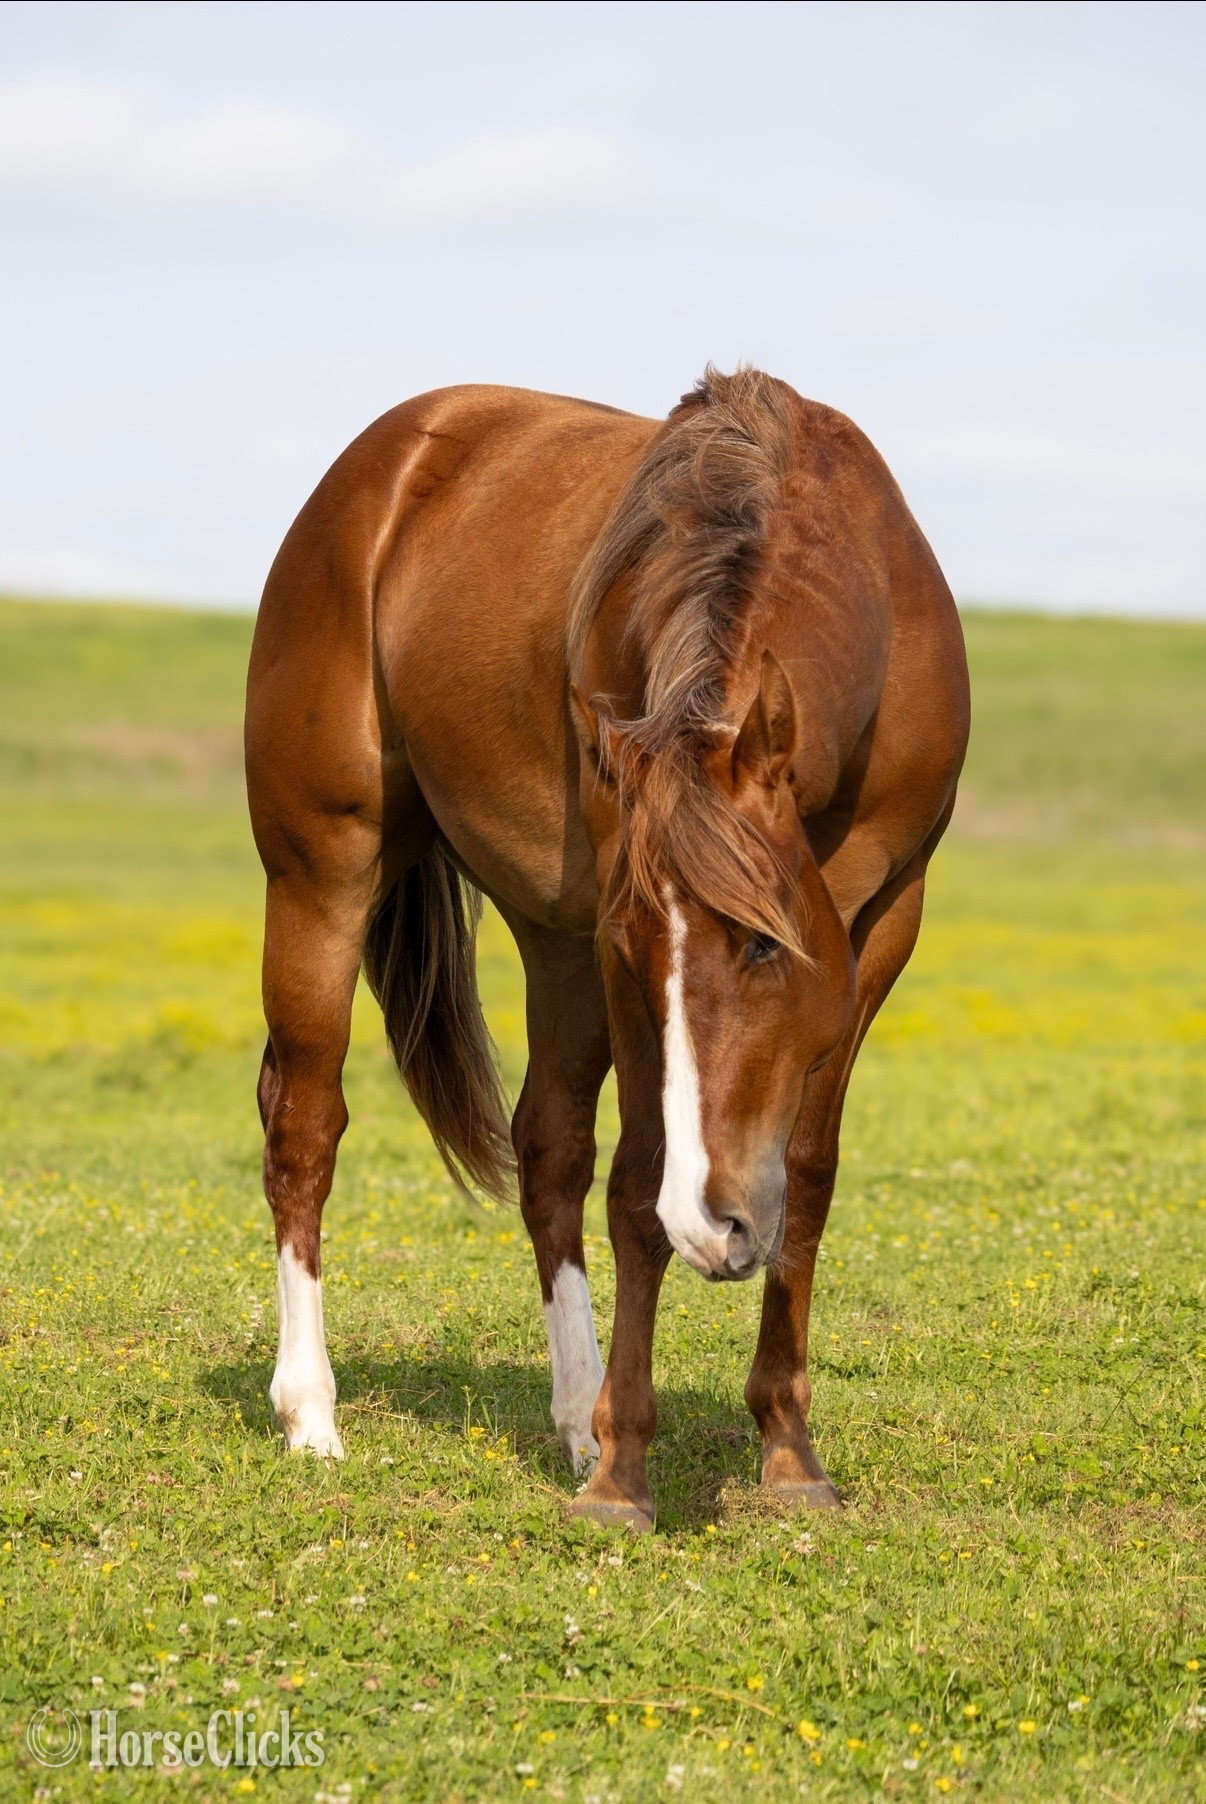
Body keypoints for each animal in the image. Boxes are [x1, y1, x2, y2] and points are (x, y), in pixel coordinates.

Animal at [244, 366, 970, 1530]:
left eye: (764, 949)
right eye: (644, 949)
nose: (715, 1225)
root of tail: (383, 462)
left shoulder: (883, 925)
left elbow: (805, 1173)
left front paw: (787, 1455)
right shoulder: (614, 942)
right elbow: (635, 1185)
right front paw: (623, 1476)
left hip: (549, 937)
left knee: (546, 1152)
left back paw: (575, 1413)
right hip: (325, 876)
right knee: (305, 1125)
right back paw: (313, 1413)